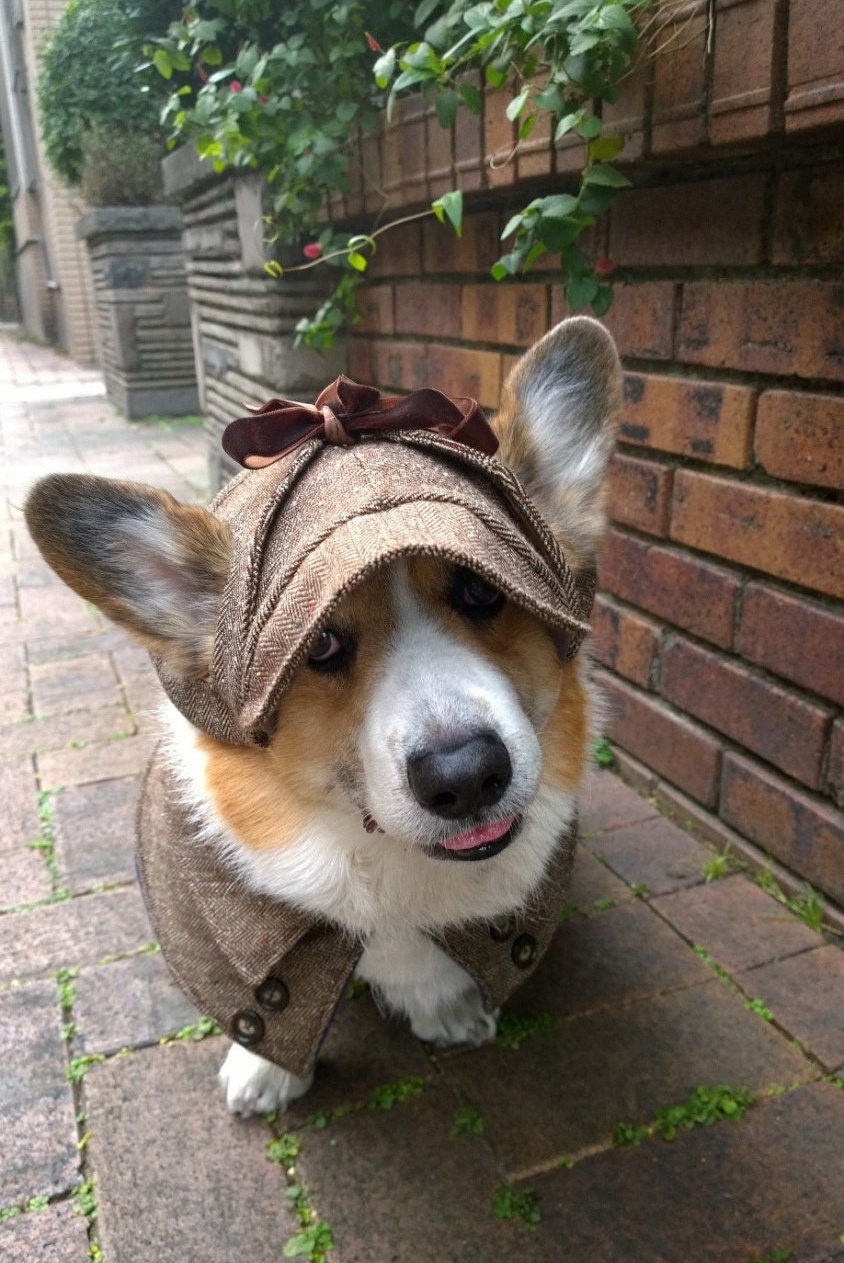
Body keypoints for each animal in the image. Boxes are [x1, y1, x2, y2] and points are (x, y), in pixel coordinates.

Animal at [24, 315, 619, 1116]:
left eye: (480, 591)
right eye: (322, 644)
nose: (466, 776)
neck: (385, 861)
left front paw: (447, 1008)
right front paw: (265, 1071)